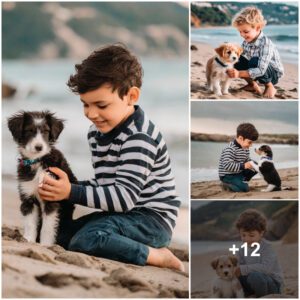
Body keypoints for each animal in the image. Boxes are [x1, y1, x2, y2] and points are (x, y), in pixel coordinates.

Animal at [8, 111, 77, 247]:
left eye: (46, 131)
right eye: (29, 130)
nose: (39, 147)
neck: (38, 161)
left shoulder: (52, 198)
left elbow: (48, 226)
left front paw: (45, 245)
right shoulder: (28, 196)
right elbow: (30, 223)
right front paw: (28, 240)